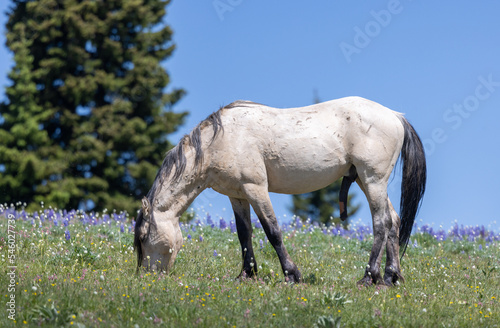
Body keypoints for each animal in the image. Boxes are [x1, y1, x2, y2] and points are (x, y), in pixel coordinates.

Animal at [134, 96, 426, 286]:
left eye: (143, 237)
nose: (146, 276)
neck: (221, 141)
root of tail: (395, 116)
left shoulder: (255, 188)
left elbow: (272, 231)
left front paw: (291, 274)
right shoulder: (237, 195)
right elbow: (244, 234)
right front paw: (246, 275)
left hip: (372, 179)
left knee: (381, 223)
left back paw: (368, 277)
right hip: (367, 181)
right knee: (393, 221)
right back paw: (390, 276)